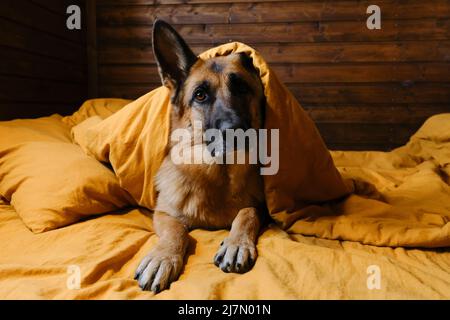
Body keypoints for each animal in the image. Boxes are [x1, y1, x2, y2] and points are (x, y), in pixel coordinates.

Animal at [134, 20, 268, 292]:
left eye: (241, 87)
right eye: (200, 95)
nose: (235, 130)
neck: (219, 176)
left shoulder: (262, 209)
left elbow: (247, 212)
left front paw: (236, 243)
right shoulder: (163, 214)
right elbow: (176, 230)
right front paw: (162, 256)